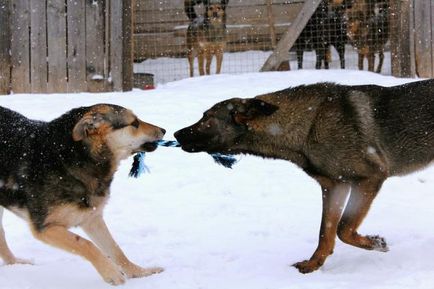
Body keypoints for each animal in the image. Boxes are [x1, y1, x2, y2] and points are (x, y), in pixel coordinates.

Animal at [0, 103, 165, 284]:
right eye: (134, 123)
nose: (164, 130)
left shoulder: (92, 218)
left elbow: (115, 250)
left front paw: (140, 273)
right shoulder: (44, 227)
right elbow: (85, 244)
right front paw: (111, 272)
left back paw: (15, 263)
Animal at [175, 79, 434, 272]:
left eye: (207, 119)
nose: (176, 134)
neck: (309, 124)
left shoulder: (370, 178)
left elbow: (343, 228)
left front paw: (375, 243)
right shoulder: (335, 186)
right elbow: (325, 231)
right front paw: (314, 264)